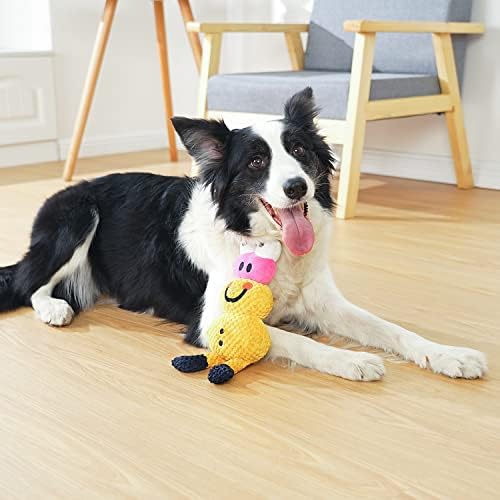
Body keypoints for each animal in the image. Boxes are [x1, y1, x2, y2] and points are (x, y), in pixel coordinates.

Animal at [0, 88, 487, 381]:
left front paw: (449, 355)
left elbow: (392, 329)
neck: (271, 245)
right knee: (28, 282)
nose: (297, 188)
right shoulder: (214, 319)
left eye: (300, 151)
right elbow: (295, 341)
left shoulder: (324, 301)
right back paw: (54, 308)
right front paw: (352, 360)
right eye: (255, 162)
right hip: (77, 218)